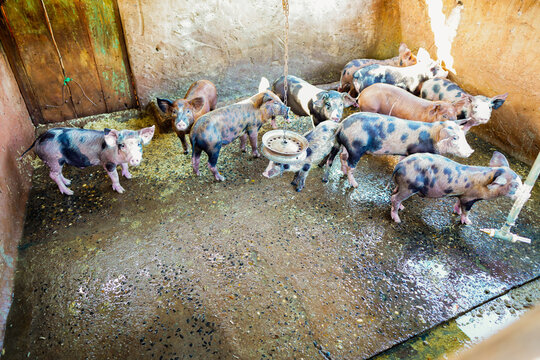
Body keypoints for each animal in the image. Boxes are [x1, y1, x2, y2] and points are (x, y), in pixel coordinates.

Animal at [19, 126, 154, 194]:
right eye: (122, 145)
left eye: (139, 144)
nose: (135, 159)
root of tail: (38, 139)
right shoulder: (108, 162)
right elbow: (114, 176)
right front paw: (121, 190)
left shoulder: (122, 161)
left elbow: (125, 166)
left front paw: (129, 176)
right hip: (53, 159)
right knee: (53, 175)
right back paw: (69, 192)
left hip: (57, 161)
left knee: (57, 173)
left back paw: (68, 182)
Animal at [324, 113, 472, 188]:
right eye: (454, 137)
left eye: (463, 135)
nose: (471, 151)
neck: (433, 137)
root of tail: (342, 124)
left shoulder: (406, 152)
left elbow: (402, 159)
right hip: (356, 147)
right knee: (350, 165)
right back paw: (355, 184)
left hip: (347, 145)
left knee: (342, 157)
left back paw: (343, 172)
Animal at [392, 150, 524, 224]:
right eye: (515, 185)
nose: (524, 196)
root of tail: (400, 165)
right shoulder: (469, 198)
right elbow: (466, 210)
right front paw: (468, 222)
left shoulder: (462, 195)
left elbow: (458, 203)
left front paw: (457, 211)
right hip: (410, 186)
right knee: (395, 198)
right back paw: (397, 220)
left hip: (404, 184)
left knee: (395, 192)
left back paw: (402, 207)